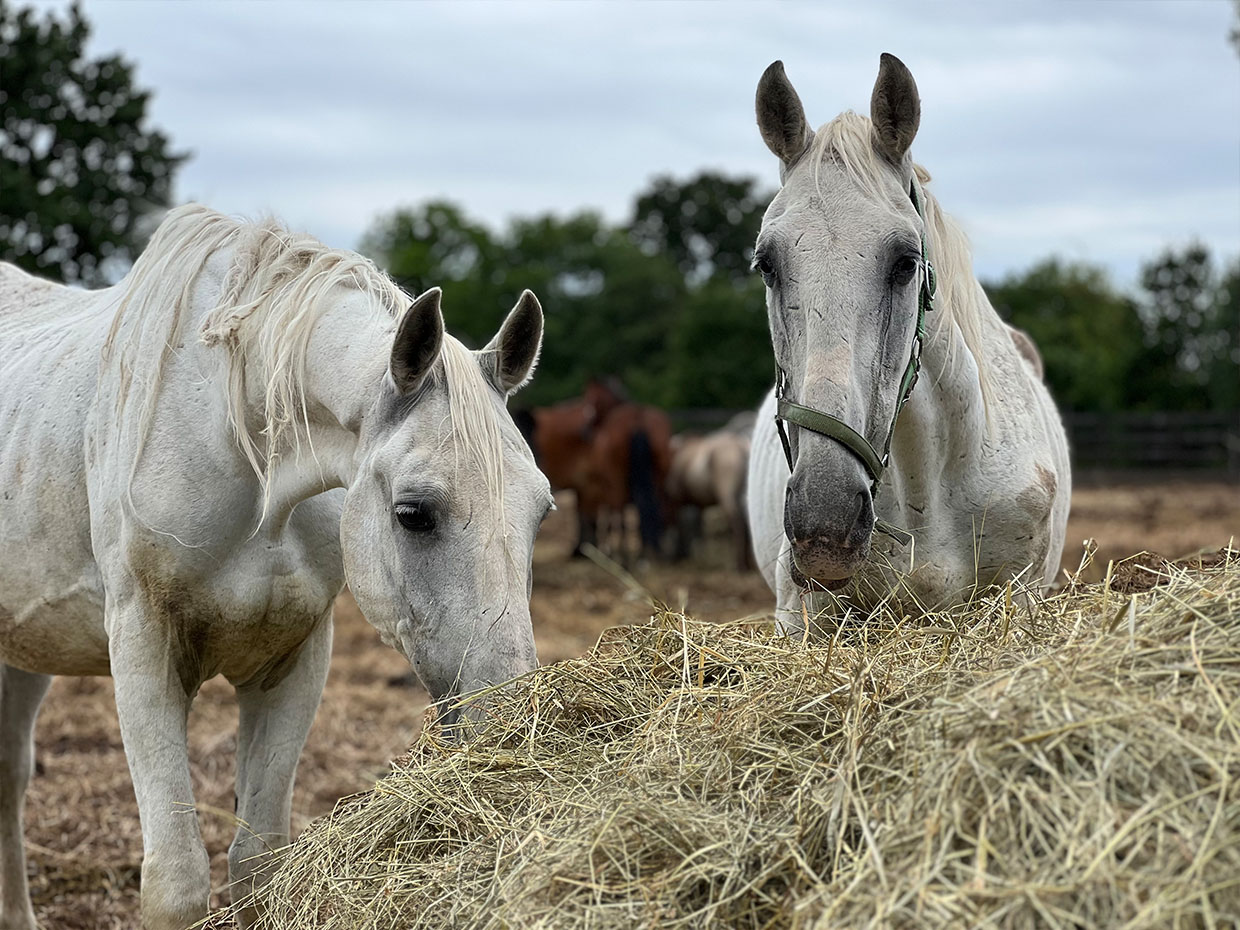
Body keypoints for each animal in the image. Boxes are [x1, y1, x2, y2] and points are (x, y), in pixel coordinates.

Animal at [0, 205, 553, 930]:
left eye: (541, 510)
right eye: (412, 512)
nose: (512, 727)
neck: (236, 443)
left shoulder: (291, 660)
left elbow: (257, 865)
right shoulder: (144, 651)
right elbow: (176, 882)